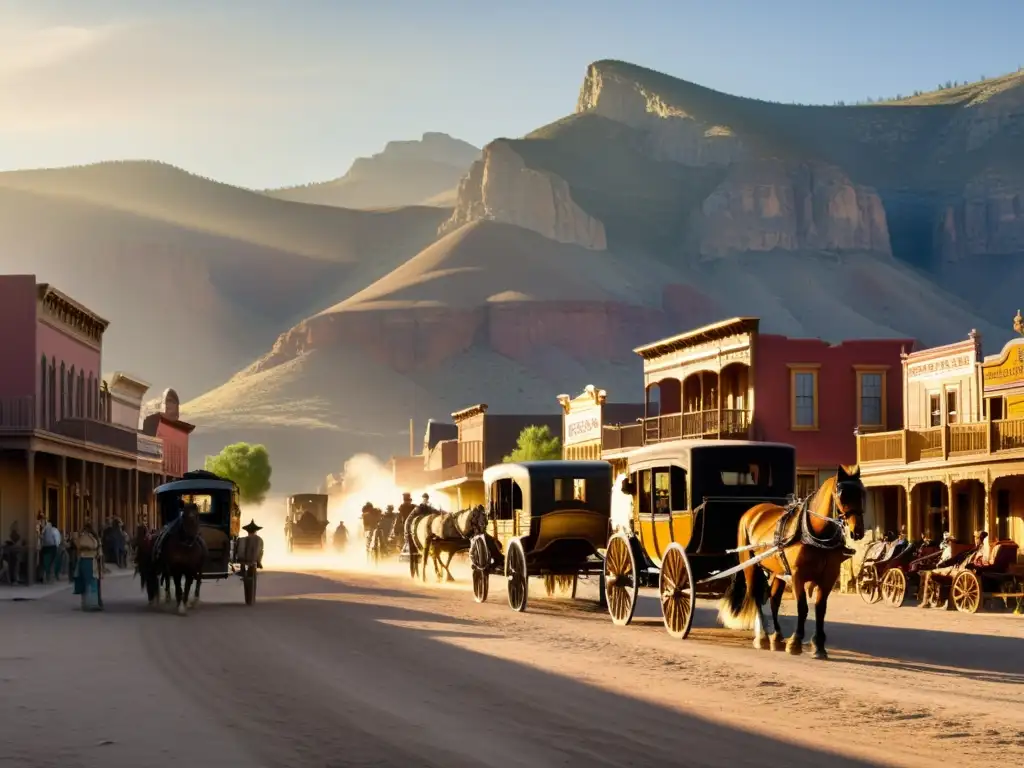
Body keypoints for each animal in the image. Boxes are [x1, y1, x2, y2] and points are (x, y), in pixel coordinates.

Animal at [716, 468, 868, 663]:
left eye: (862, 493)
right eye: (842, 495)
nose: (858, 531)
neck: (815, 534)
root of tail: (753, 510)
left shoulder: (828, 577)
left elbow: (820, 609)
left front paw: (819, 646)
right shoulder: (797, 576)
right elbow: (802, 608)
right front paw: (795, 642)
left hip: (778, 572)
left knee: (774, 600)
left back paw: (777, 638)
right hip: (751, 566)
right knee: (756, 597)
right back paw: (763, 637)